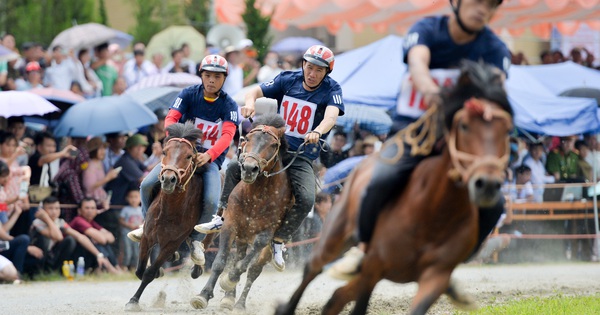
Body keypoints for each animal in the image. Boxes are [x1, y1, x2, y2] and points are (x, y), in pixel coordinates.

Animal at [125, 122, 206, 312]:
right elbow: (139, 270)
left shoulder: (171, 243)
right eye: (164, 152)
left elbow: (148, 273)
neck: (170, 210)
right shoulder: (147, 237)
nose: (169, 179)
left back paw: (197, 264)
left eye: (189, 156)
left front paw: (134, 300)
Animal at [190, 114, 292, 314]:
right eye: (248, 139)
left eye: (273, 144)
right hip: (240, 235)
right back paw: (225, 295)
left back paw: (238, 303)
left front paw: (229, 280)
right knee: (231, 253)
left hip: (264, 247)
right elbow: (220, 262)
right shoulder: (230, 225)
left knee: (252, 270)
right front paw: (203, 295)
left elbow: (243, 266)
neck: (256, 195)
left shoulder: (264, 236)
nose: (249, 168)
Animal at [274, 61, 512, 315]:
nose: (487, 183)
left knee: (336, 297)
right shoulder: (374, 266)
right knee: (313, 268)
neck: (434, 213)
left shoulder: (436, 275)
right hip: (335, 235)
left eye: (507, 129)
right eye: (464, 125)